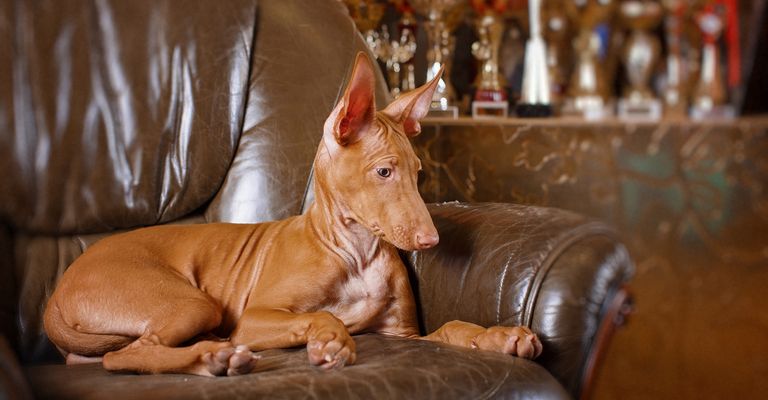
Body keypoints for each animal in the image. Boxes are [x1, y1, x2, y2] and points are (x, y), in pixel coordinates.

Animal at [45, 52, 544, 376]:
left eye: (419, 173)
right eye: (384, 171)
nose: (430, 241)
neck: (356, 253)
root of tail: (59, 288)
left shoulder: (403, 336)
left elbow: (453, 326)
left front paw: (499, 336)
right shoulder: (254, 319)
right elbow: (323, 317)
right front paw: (332, 339)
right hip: (192, 303)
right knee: (125, 356)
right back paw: (213, 358)